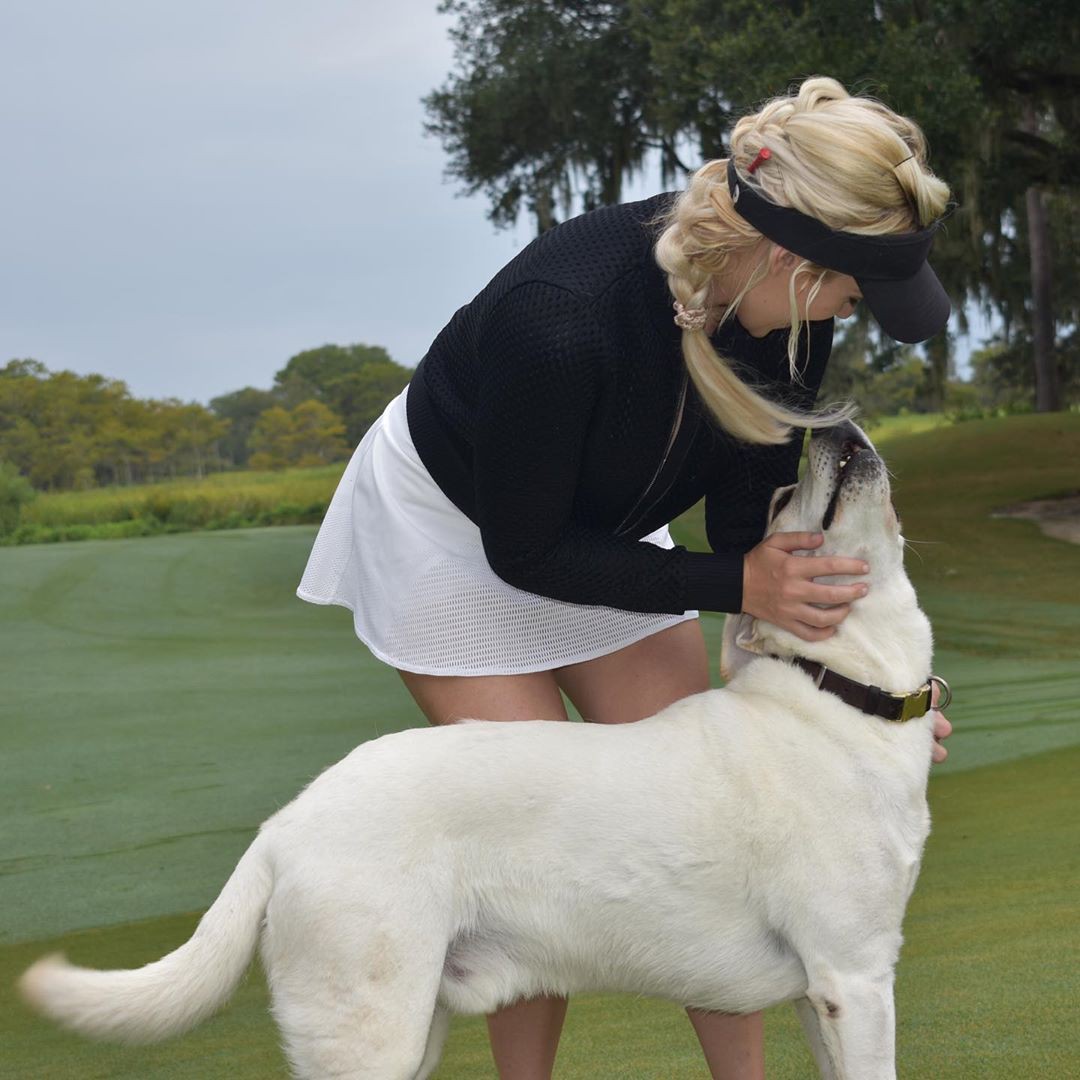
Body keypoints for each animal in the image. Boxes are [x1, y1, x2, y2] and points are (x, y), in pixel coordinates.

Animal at [16, 421, 946, 1080]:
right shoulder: (855, 978)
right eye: (788, 496)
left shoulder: (818, 995)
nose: (829, 426)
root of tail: (284, 827)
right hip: (371, 1033)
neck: (840, 692)